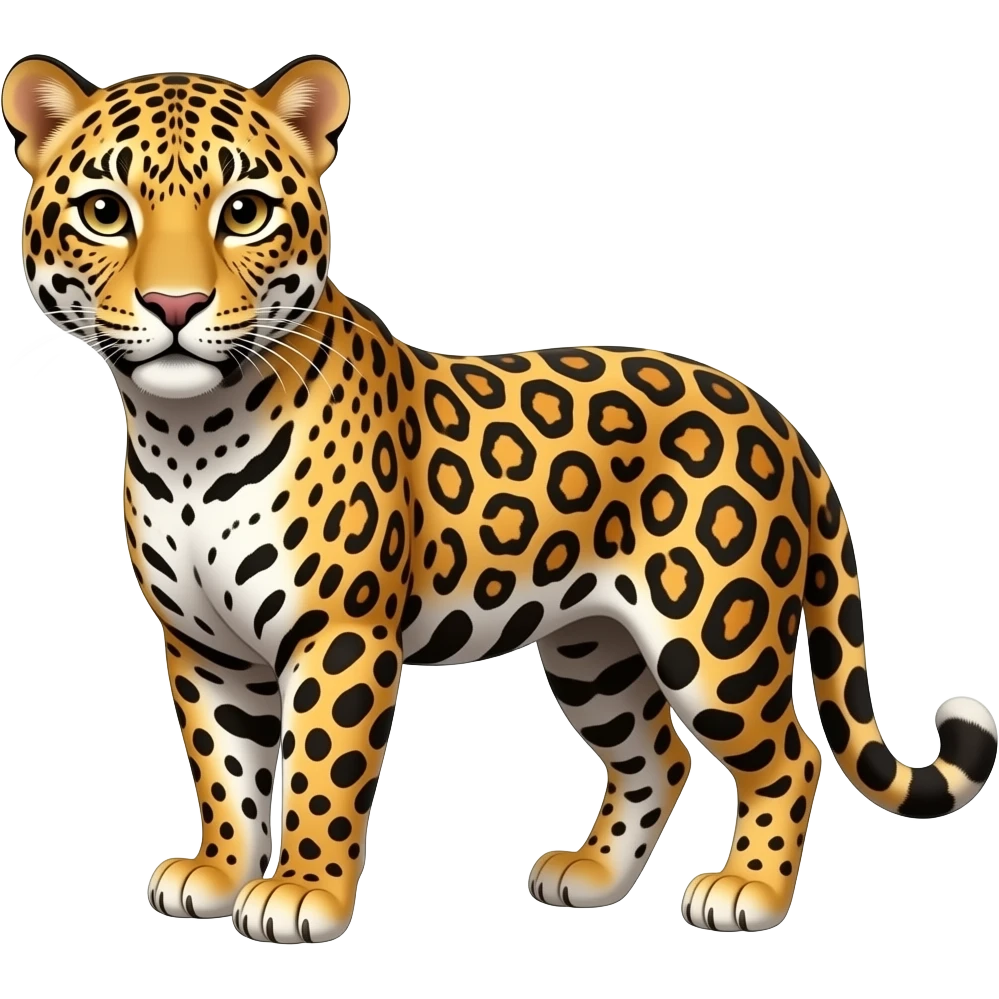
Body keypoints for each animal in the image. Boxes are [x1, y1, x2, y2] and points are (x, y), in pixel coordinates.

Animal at [4, 52, 996, 944]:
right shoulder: (203, 645)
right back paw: (590, 876)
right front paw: (214, 870)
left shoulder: (339, 634)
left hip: (715, 635)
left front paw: (301, 894)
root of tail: (778, 418)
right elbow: (223, 768)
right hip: (592, 646)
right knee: (656, 754)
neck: (188, 435)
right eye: (105, 211)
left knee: (789, 755)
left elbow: (319, 770)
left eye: (243, 212)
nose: (176, 305)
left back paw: (744, 890)